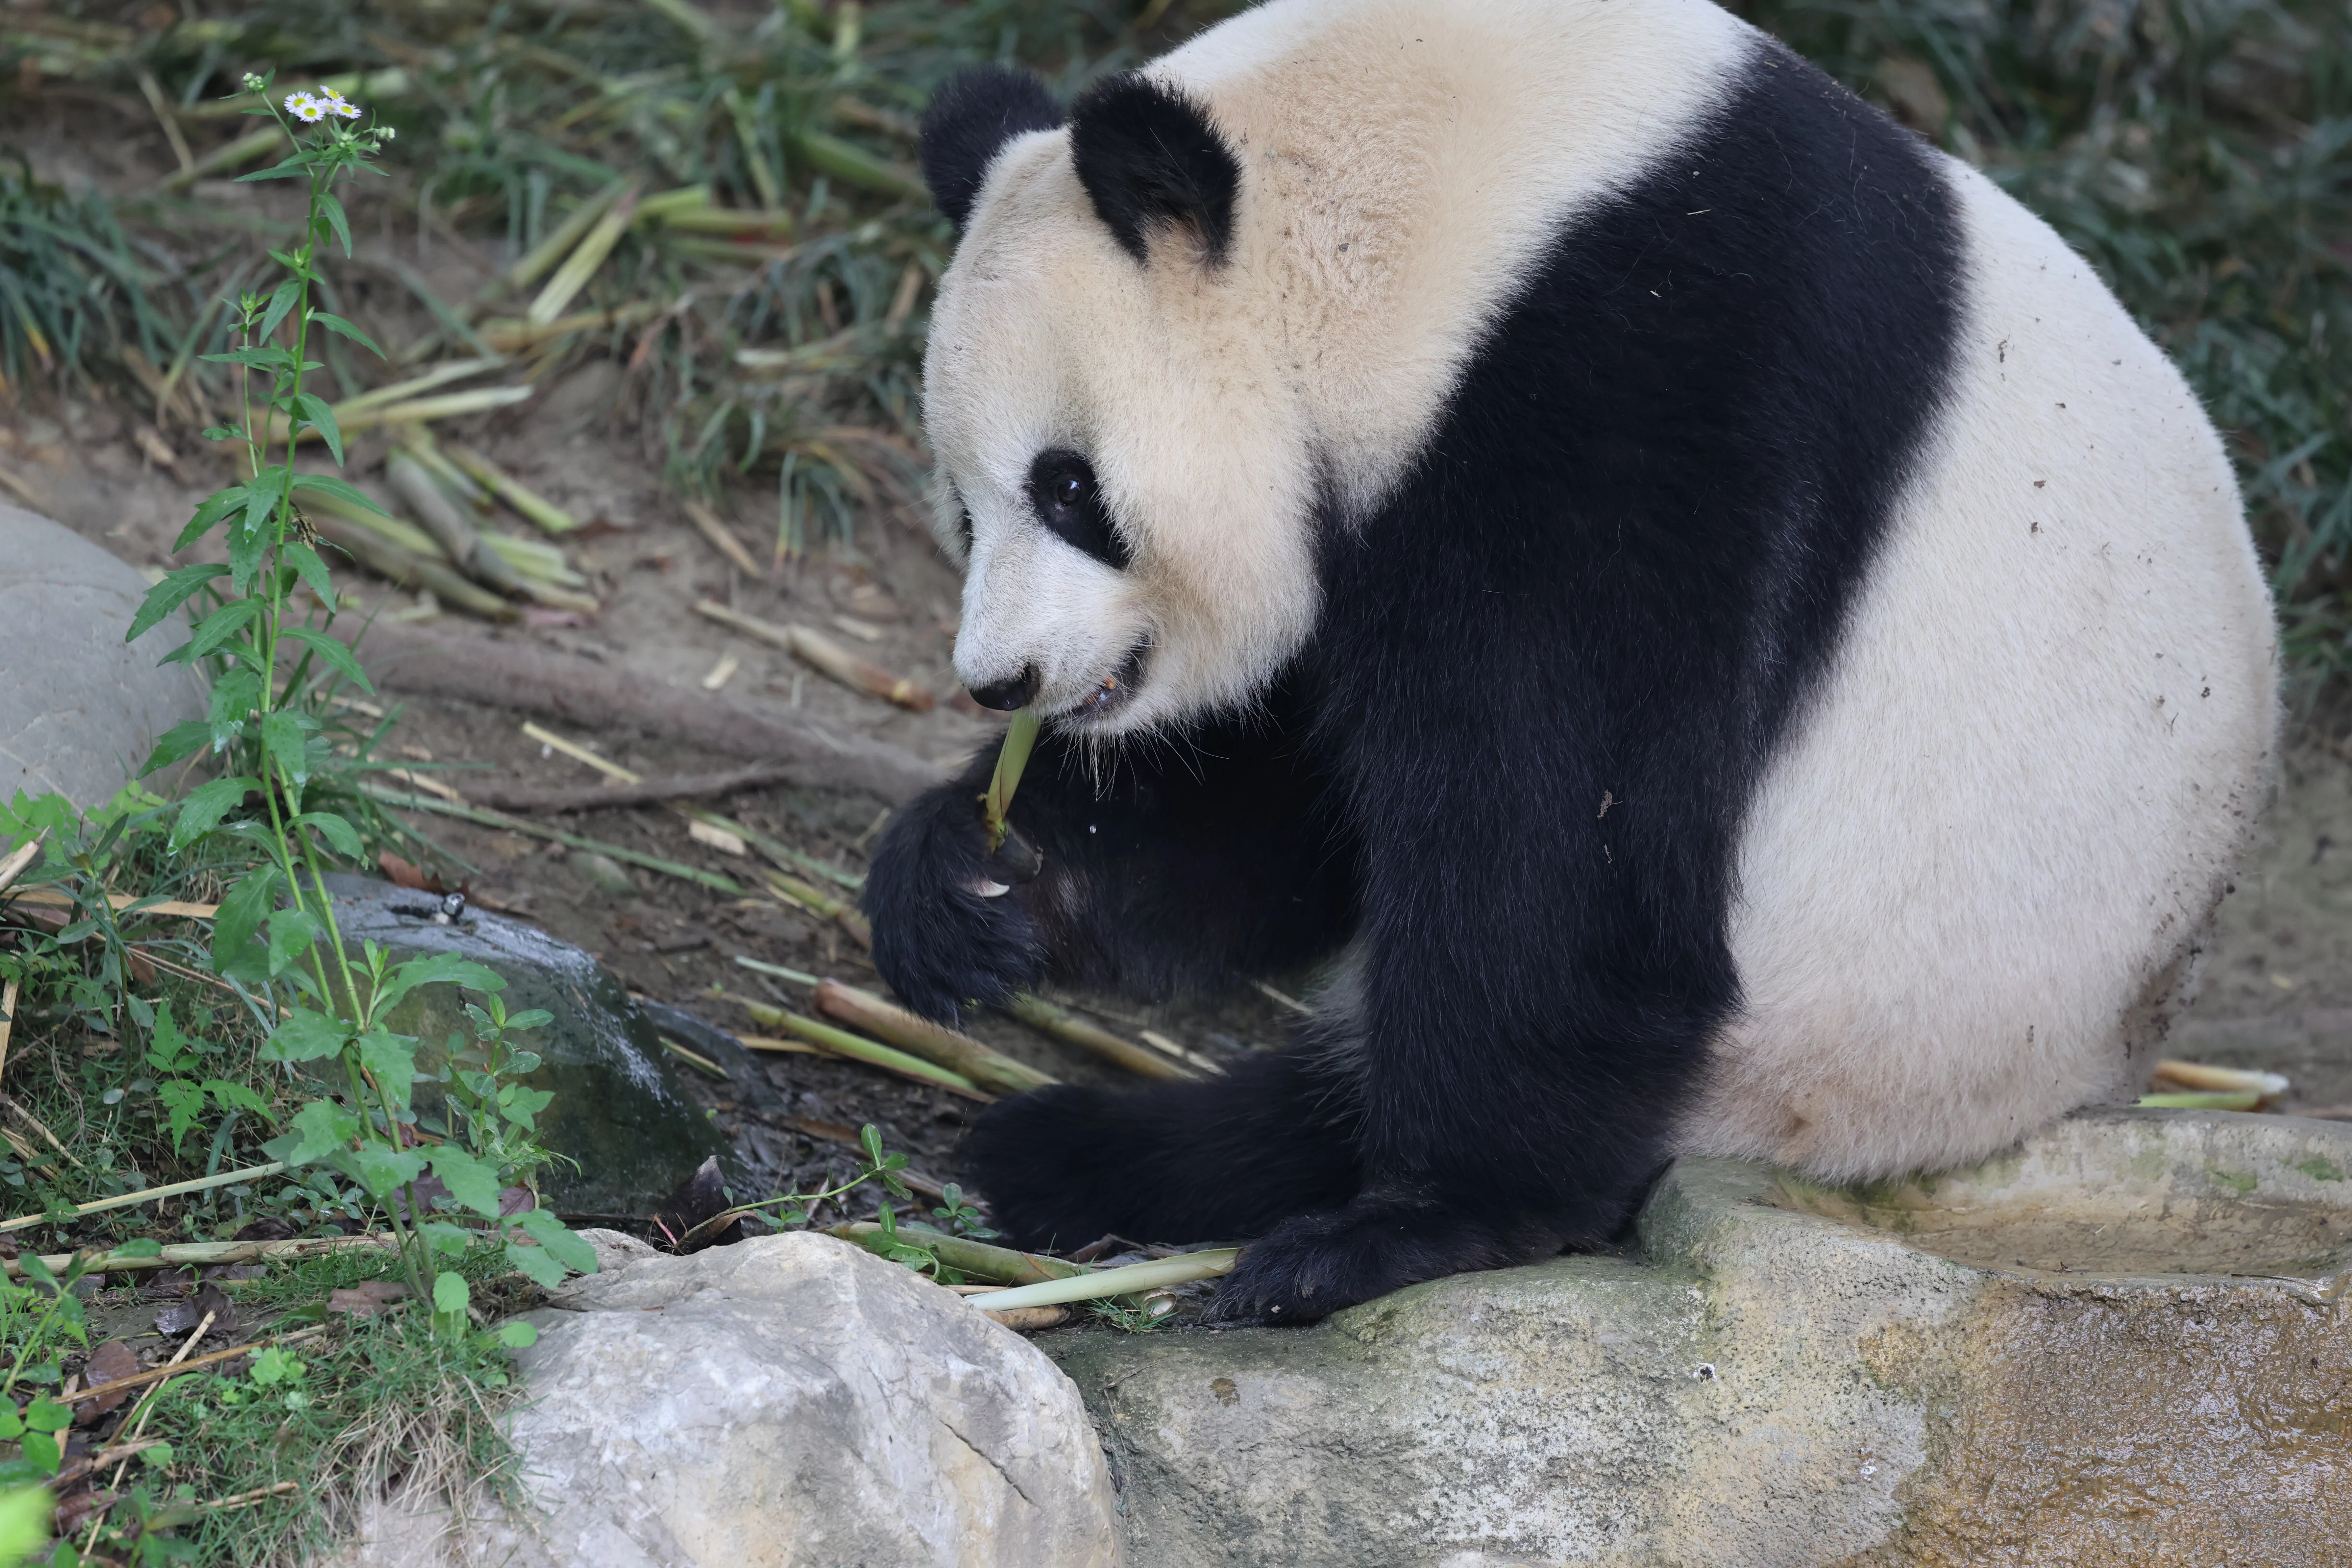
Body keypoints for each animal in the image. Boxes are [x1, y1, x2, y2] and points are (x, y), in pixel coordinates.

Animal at [862, 0, 2279, 1325]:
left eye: (1067, 487)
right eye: (961, 505)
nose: (1001, 680)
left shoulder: (1640, 390)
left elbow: (1557, 839)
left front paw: (1418, 1229)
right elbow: (1303, 809)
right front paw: (974, 879)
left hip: (1847, 1038)